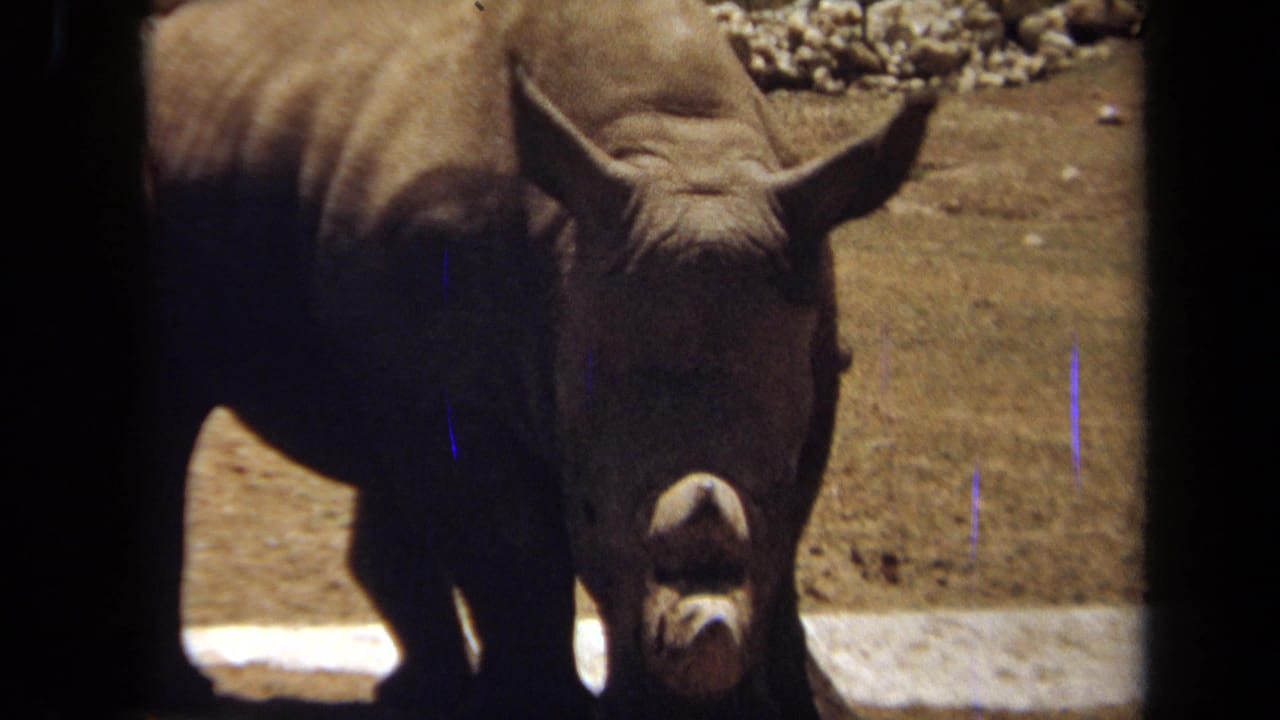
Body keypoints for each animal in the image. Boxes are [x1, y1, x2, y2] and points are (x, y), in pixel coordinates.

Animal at [143, 0, 934, 718]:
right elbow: (517, 560)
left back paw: (417, 695)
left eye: (778, 486)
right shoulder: (472, 403)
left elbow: (782, 553)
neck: (679, 144)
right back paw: (189, 692)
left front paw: (808, 704)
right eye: (587, 510)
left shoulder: (817, 351)